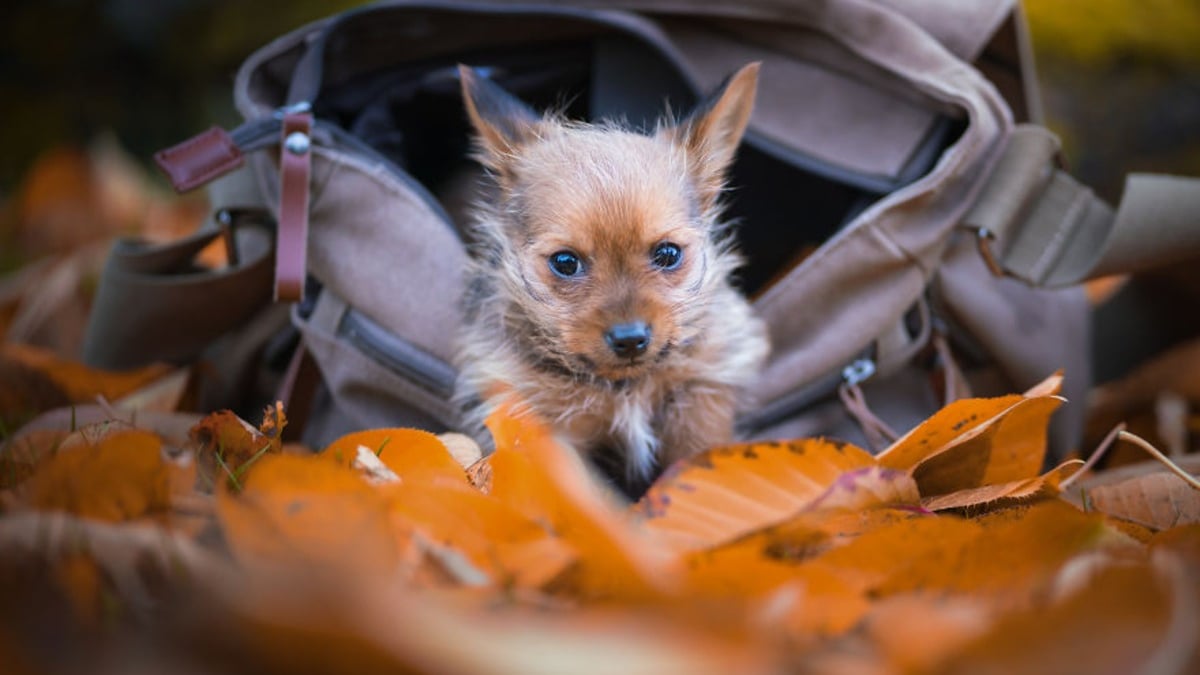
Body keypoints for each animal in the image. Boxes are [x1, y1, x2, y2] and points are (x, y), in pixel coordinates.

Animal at [453, 61, 772, 494]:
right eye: (565, 262)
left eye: (668, 254)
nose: (630, 338)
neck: (627, 388)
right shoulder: (550, 427)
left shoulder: (703, 394)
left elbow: (698, 459)